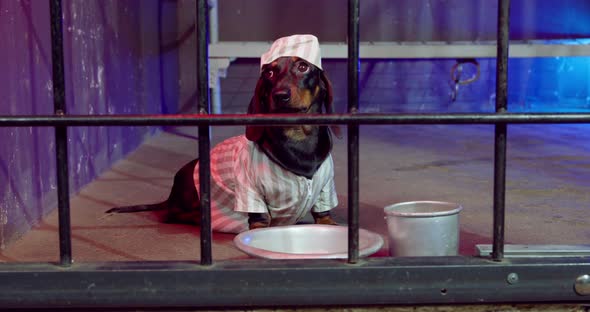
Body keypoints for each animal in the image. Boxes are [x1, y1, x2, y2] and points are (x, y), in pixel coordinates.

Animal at [104, 54, 340, 233]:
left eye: (303, 67)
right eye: (269, 73)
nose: (280, 95)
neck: (298, 140)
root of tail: (171, 195)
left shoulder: (326, 189)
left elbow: (325, 217)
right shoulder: (251, 193)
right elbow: (260, 222)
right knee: (173, 215)